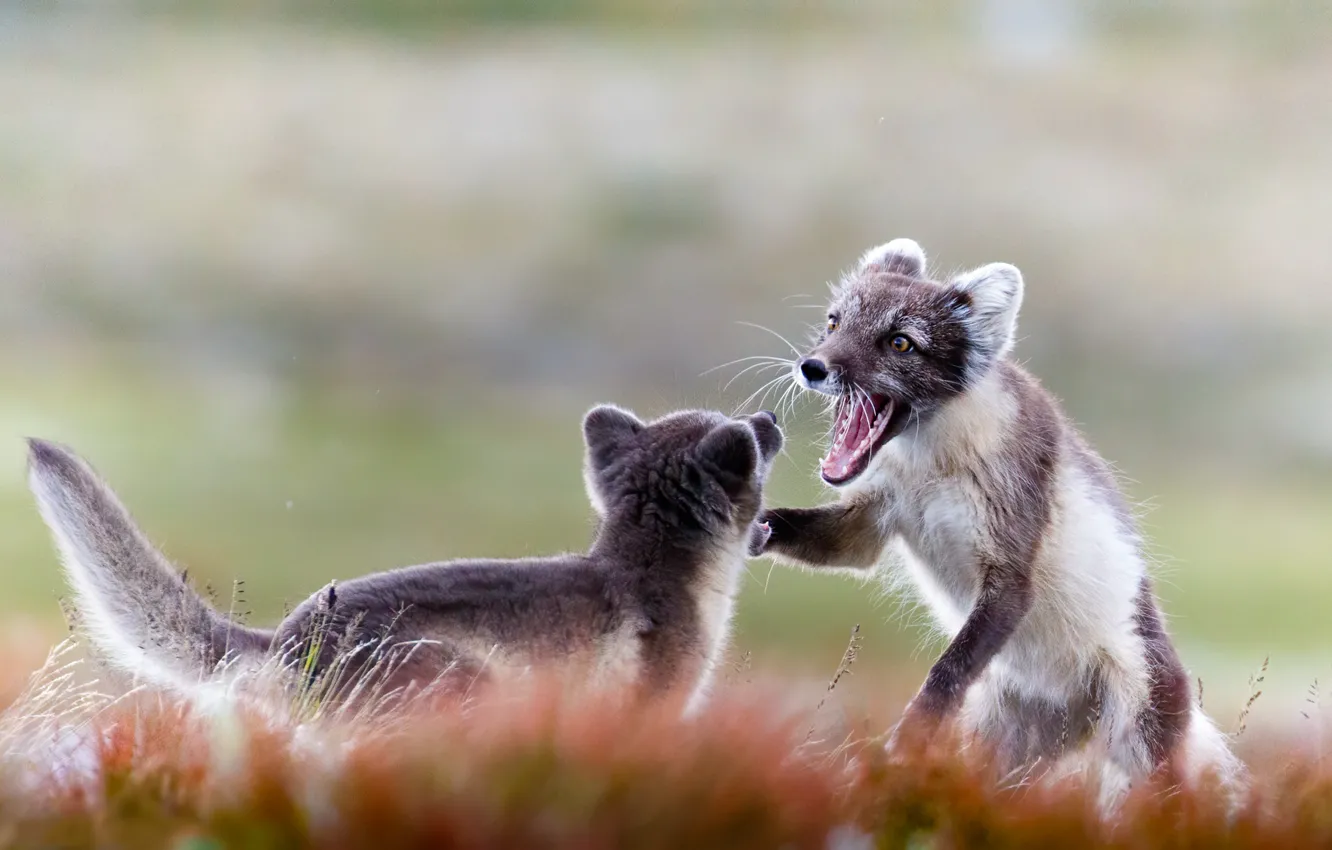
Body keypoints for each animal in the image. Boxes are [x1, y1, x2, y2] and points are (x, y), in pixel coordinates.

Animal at [748, 238, 1243, 800]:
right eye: (834, 322)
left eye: (900, 343)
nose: (812, 367)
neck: (929, 464)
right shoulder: (872, 520)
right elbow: (819, 533)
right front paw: (750, 522)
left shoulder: (1010, 571)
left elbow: (945, 672)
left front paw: (904, 743)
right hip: (1005, 746)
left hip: (1141, 736)